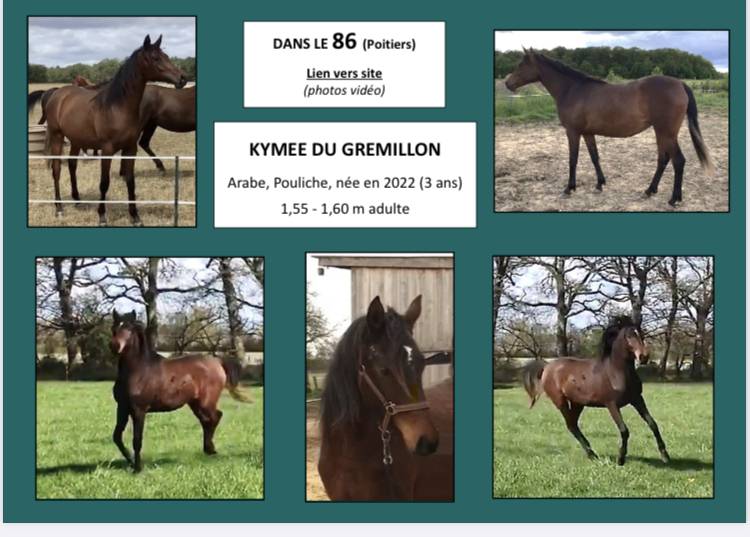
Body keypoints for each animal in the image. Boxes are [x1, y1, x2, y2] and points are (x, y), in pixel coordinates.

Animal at [38, 35, 186, 226]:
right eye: (155, 58)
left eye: (166, 56)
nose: (182, 78)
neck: (116, 107)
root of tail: (56, 94)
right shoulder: (107, 150)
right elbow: (104, 182)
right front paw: (102, 216)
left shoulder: (130, 149)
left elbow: (130, 181)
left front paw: (135, 217)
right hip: (57, 137)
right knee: (56, 169)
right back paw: (59, 208)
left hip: (76, 140)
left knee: (72, 165)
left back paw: (77, 200)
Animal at [110, 309, 251, 473]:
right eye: (114, 327)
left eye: (129, 328)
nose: (114, 346)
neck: (139, 370)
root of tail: (218, 362)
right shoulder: (122, 407)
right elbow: (117, 436)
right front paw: (131, 462)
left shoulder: (139, 409)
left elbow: (137, 439)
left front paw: (138, 468)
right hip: (195, 404)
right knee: (207, 421)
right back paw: (208, 450)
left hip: (206, 402)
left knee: (216, 417)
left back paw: (210, 450)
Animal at [504, 48, 714, 207]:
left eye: (522, 64)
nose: (507, 83)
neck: (573, 90)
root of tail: (680, 83)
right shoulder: (588, 133)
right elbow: (594, 157)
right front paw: (600, 184)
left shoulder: (572, 132)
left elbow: (573, 159)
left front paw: (569, 188)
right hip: (662, 132)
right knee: (663, 160)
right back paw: (649, 190)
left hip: (666, 132)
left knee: (678, 161)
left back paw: (673, 199)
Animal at [522, 316, 670, 466]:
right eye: (629, 336)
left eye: (642, 334)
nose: (644, 357)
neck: (616, 372)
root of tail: (547, 366)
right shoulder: (612, 404)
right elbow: (624, 430)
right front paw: (620, 459)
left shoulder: (637, 399)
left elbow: (653, 424)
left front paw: (665, 456)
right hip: (560, 402)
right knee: (570, 425)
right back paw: (592, 454)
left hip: (577, 403)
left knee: (573, 425)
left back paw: (592, 453)